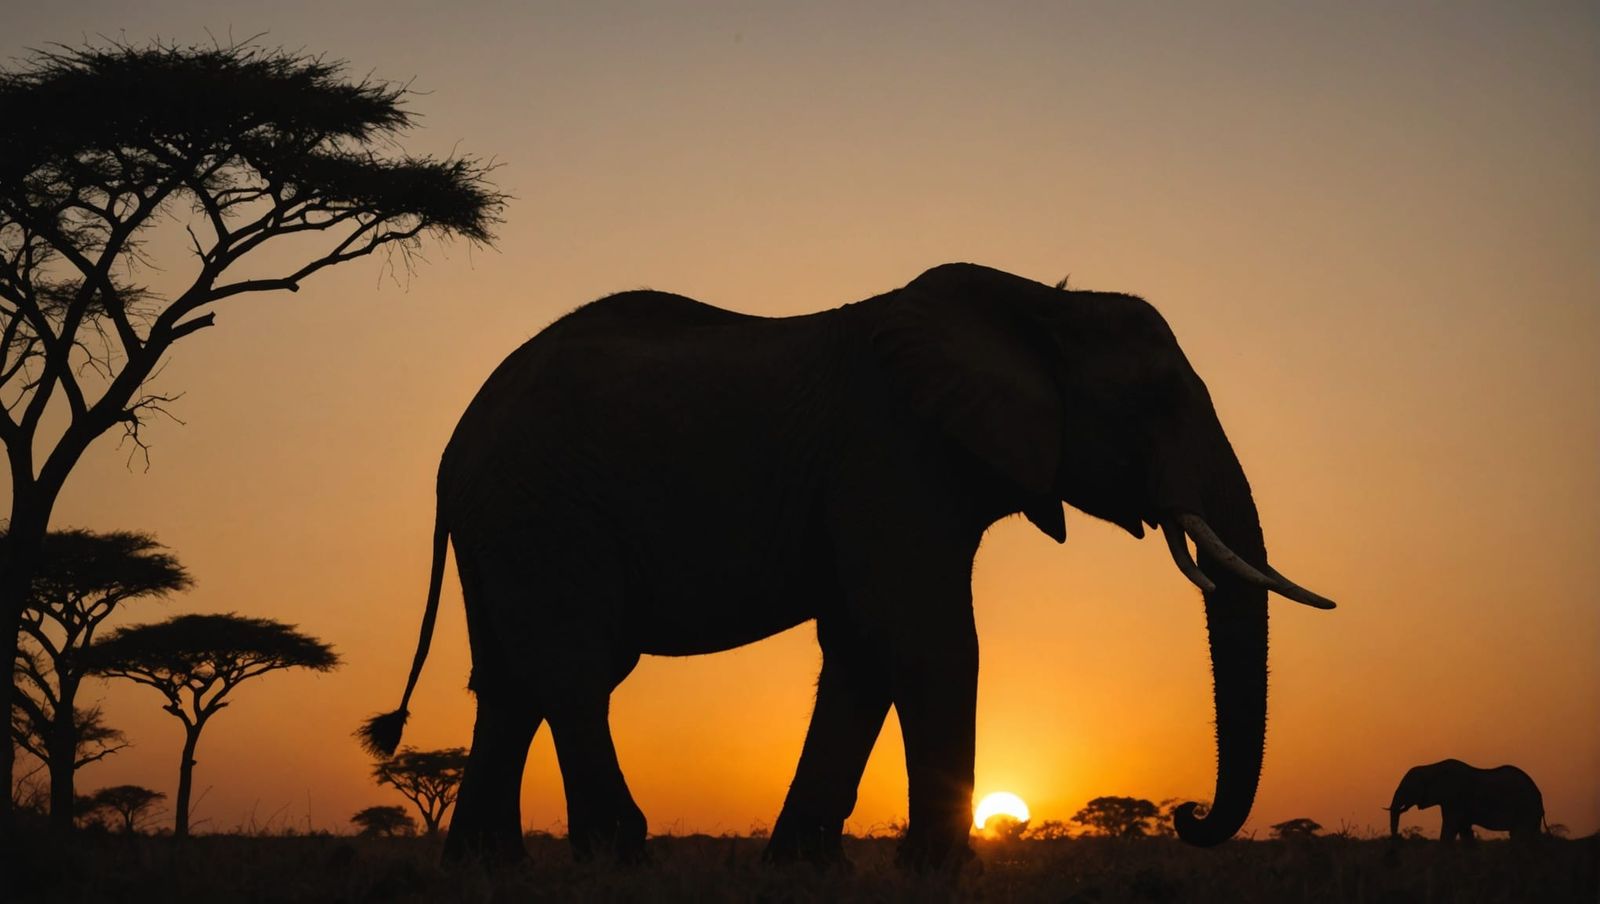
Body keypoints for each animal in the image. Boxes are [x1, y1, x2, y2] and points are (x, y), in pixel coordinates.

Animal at [363, 262, 1337, 864]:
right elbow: (928, 640)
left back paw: (485, 871)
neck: (1034, 303)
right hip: (546, 507)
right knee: (575, 671)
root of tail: (455, 443)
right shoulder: (893, 453)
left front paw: (803, 870)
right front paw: (933, 877)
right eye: (1158, 399)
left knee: (508, 683)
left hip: (507, 523)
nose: (1185, 816)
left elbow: (865, 649)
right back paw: (620, 857)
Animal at [1382, 758, 1542, 844]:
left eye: (1408, 788)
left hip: (1525, 807)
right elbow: (1464, 829)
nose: (1398, 839)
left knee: (1520, 835)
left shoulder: (1455, 798)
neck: (1431, 767)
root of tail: (1539, 794)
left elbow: (1451, 826)